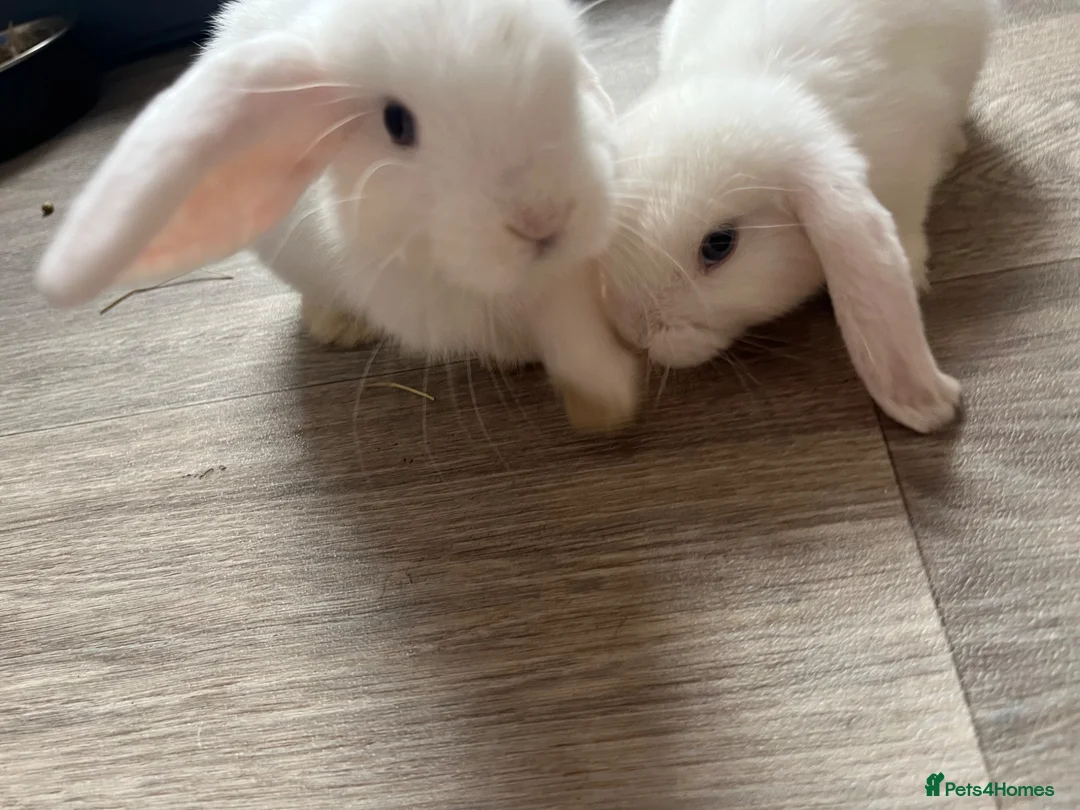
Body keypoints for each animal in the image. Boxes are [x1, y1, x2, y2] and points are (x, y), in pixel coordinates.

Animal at [34, 0, 640, 432]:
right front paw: (589, 392)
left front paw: (607, 398)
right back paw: (339, 328)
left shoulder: (571, 271)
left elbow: (570, 322)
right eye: (398, 123)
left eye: (571, 76)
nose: (544, 219)